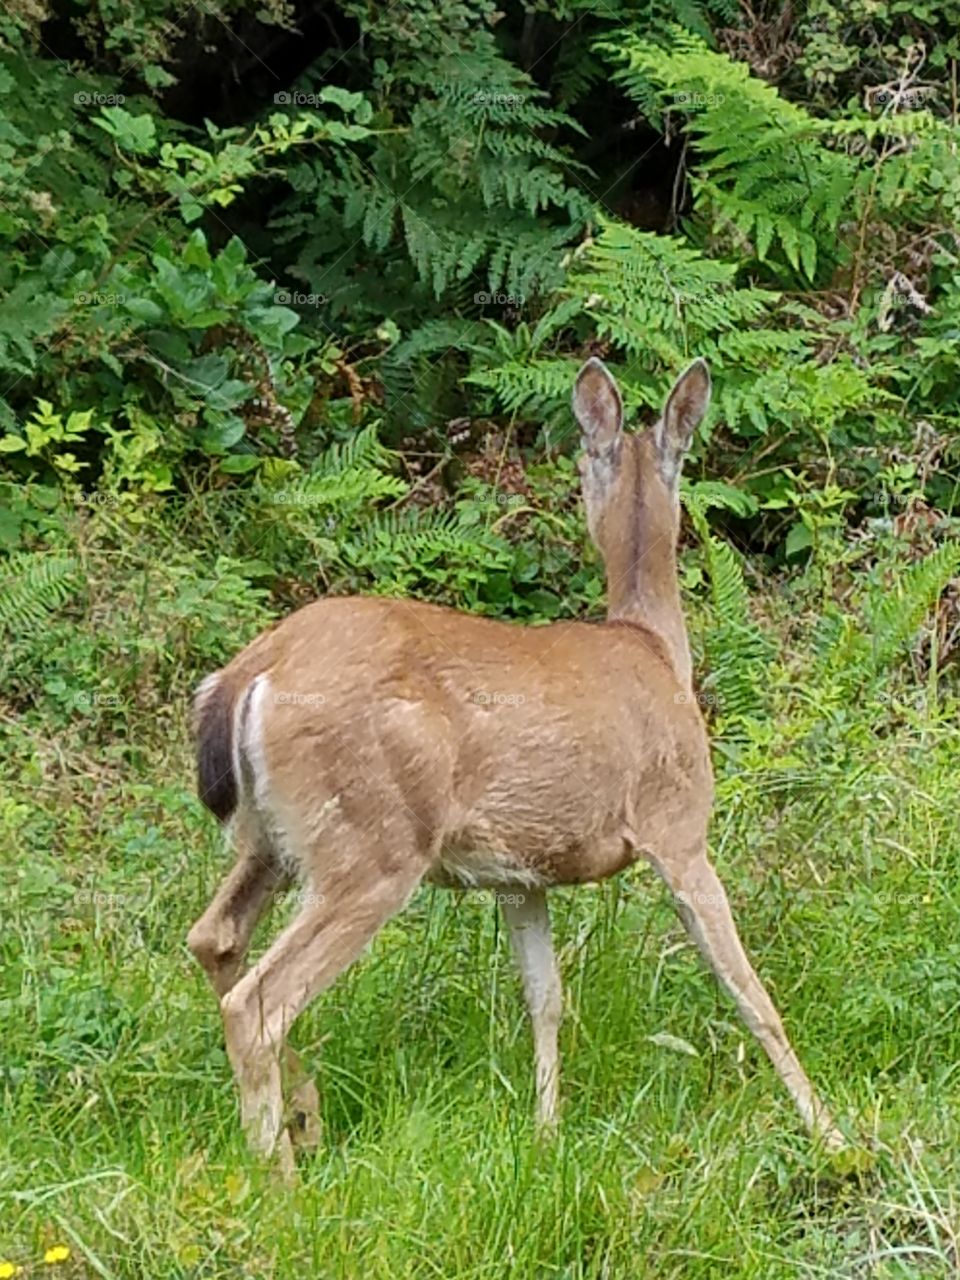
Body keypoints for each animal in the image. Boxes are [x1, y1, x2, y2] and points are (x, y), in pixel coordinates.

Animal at [187, 356, 845, 1174]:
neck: (656, 648)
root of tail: (253, 672)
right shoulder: (679, 825)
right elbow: (749, 991)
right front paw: (831, 1131)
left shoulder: (518, 874)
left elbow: (546, 996)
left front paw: (546, 1132)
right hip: (372, 841)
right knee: (257, 1000)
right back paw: (279, 1177)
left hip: (273, 837)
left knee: (215, 939)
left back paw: (302, 1120)